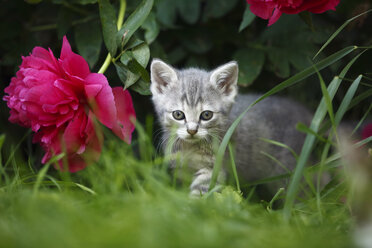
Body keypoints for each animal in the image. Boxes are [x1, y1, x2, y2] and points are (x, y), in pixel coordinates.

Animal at [150, 59, 312, 197]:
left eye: (206, 115)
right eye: (178, 114)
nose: (192, 130)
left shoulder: (214, 169)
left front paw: (194, 206)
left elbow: (200, 192)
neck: (191, 149)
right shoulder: (181, 168)